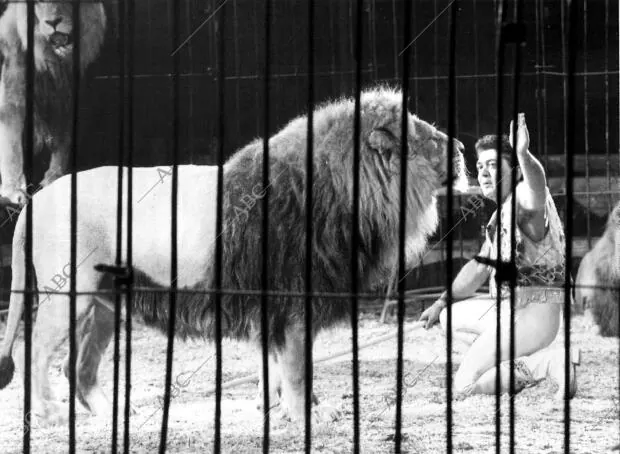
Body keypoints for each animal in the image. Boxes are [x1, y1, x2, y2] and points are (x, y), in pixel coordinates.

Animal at [0, 86, 468, 430]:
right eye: (430, 138)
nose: (463, 146)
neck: (341, 191)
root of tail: (36, 200)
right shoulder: (293, 301)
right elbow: (298, 368)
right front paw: (309, 416)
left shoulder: (274, 308)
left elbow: (276, 365)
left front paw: (277, 409)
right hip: (69, 295)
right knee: (33, 351)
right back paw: (48, 414)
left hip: (105, 304)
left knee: (78, 367)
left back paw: (112, 413)